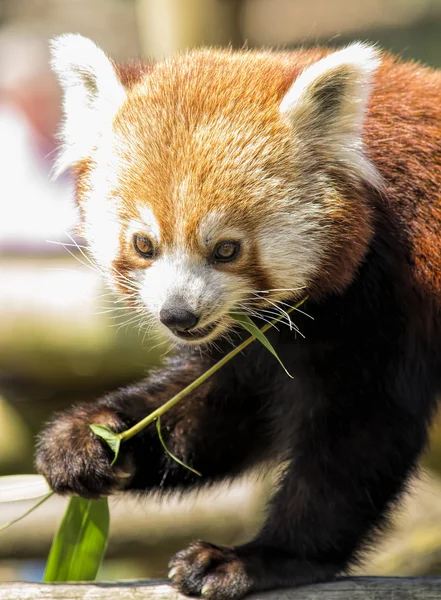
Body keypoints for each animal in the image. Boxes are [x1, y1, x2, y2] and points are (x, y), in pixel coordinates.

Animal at [36, 35, 440, 596]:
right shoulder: (265, 339)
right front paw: (90, 439)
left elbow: (358, 438)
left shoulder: (389, 300)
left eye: (226, 249)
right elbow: (220, 410)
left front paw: (259, 558)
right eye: (144, 244)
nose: (178, 314)